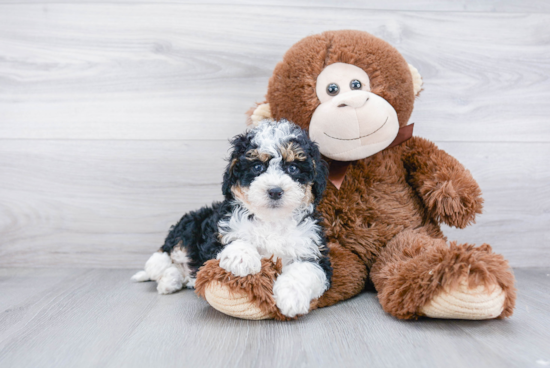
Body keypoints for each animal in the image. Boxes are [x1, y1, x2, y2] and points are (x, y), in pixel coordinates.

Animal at [133, 120, 332, 316]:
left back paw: (171, 281)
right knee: (166, 251)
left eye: (293, 168)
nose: (275, 191)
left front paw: (291, 298)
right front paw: (242, 258)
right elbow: (234, 239)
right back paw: (160, 271)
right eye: (257, 167)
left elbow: (305, 269)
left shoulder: (314, 251)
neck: (271, 220)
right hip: (191, 224)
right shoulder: (217, 236)